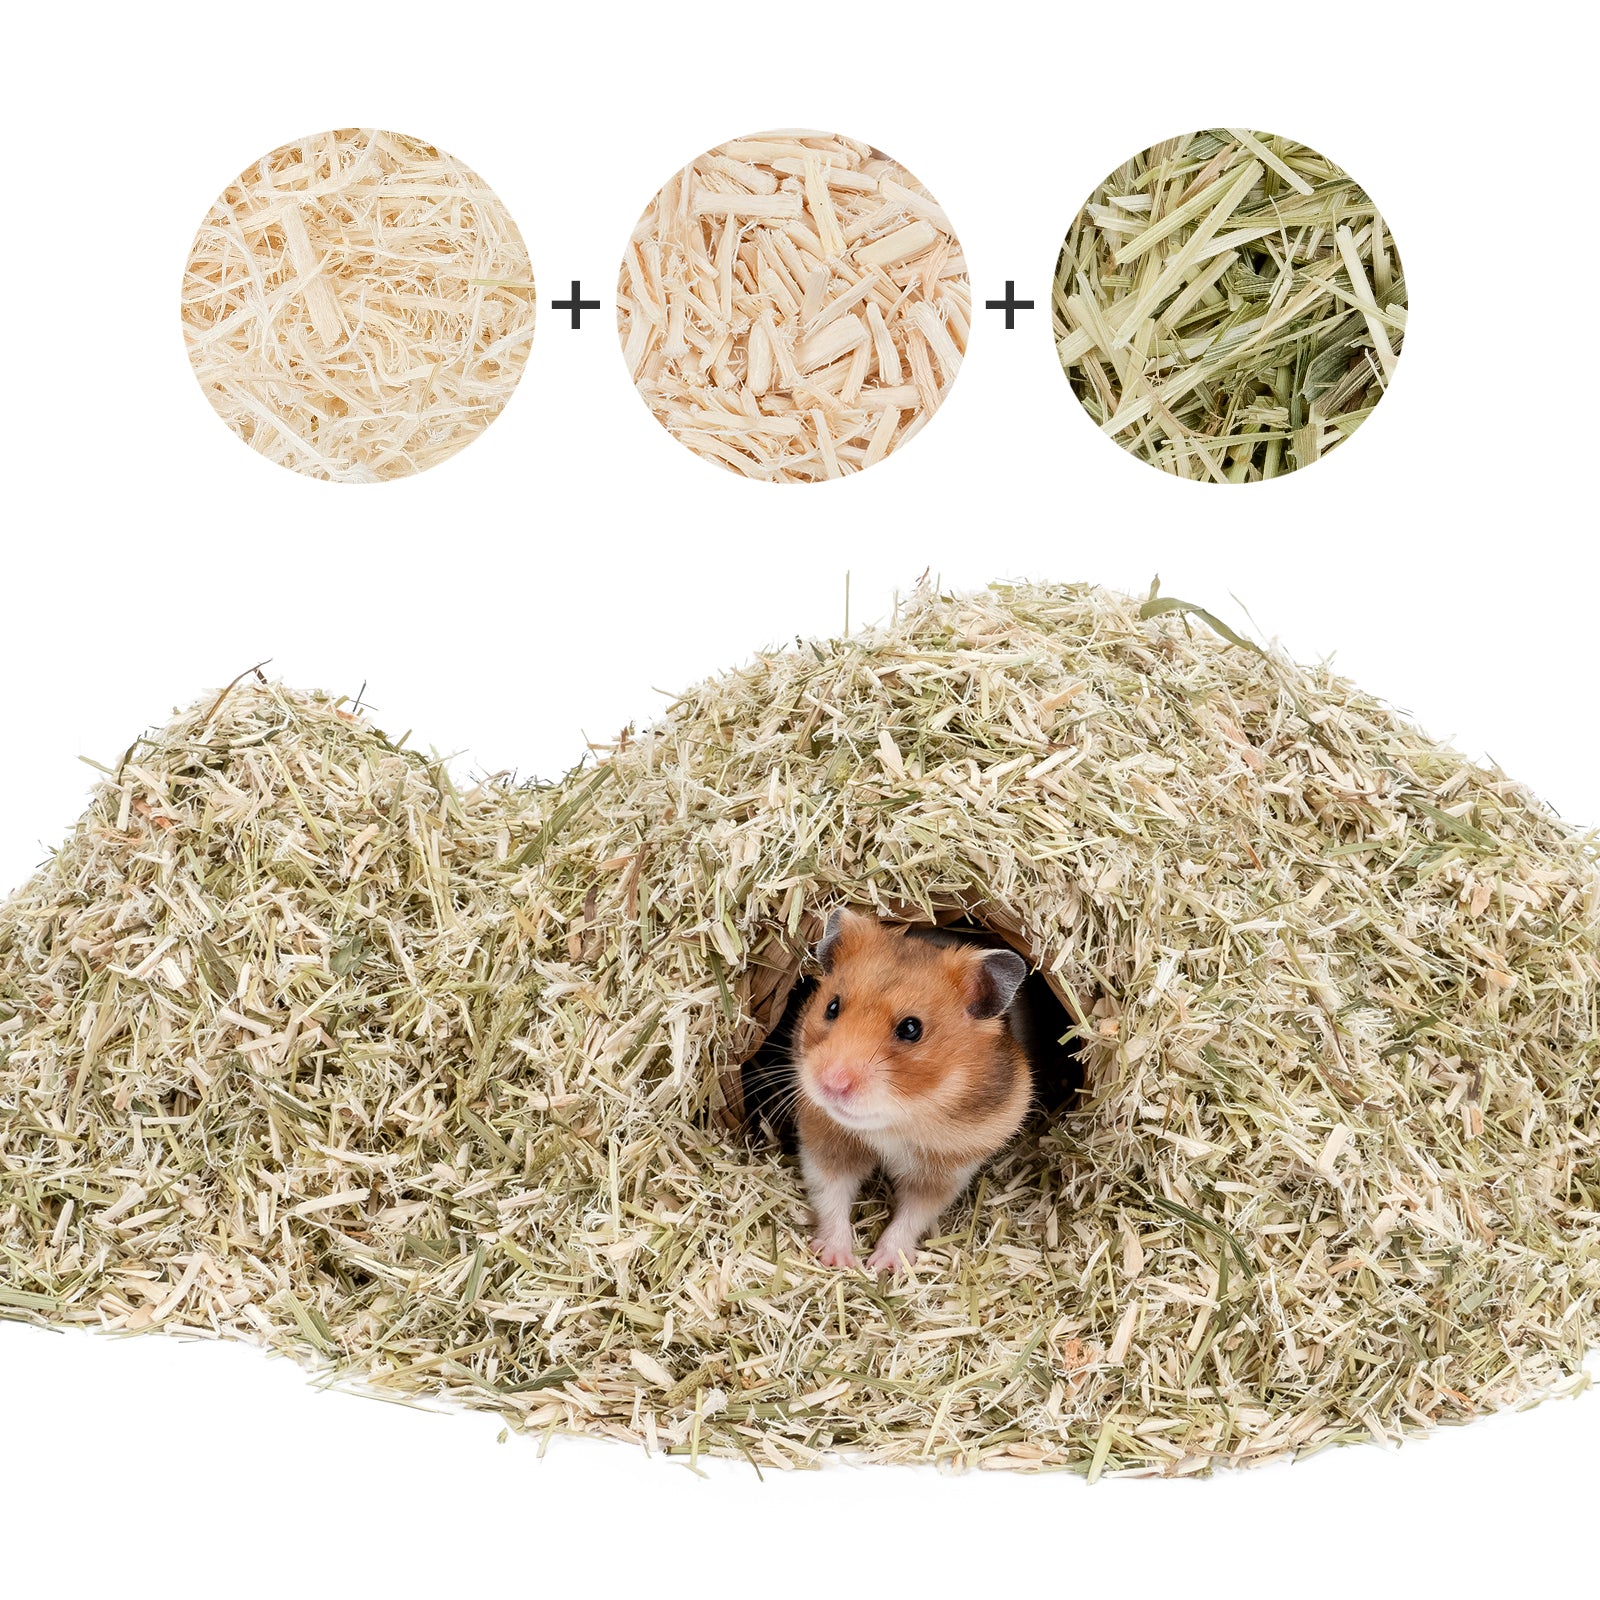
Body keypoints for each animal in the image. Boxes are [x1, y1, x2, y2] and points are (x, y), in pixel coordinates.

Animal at [793, 908, 1034, 1275]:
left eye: (911, 1028)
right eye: (832, 1007)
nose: (831, 1084)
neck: (896, 1121)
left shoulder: (946, 1170)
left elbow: (912, 1215)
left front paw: (883, 1265)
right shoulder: (826, 1142)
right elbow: (831, 1196)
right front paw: (839, 1259)